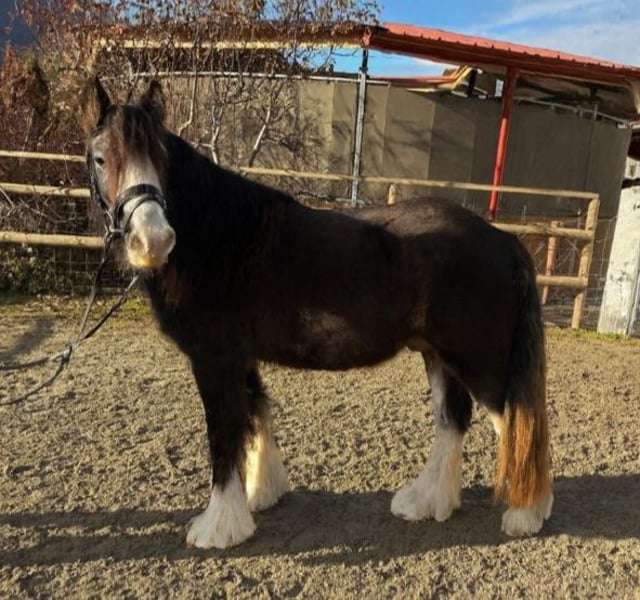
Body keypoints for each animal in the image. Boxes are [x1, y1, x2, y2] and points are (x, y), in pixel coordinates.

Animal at [80, 78, 552, 549]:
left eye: (159, 159)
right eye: (101, 158)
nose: (153, 241)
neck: (221, 238)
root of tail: (504, 240)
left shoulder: (214, 360)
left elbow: (223, 435)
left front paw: (218, 527)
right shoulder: (240, 357)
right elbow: (256, 413)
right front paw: (261, 494)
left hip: (481, 363)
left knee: (516, 423)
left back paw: (527, 513)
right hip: (438, 354)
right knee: (453, 419)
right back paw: (427, 501)